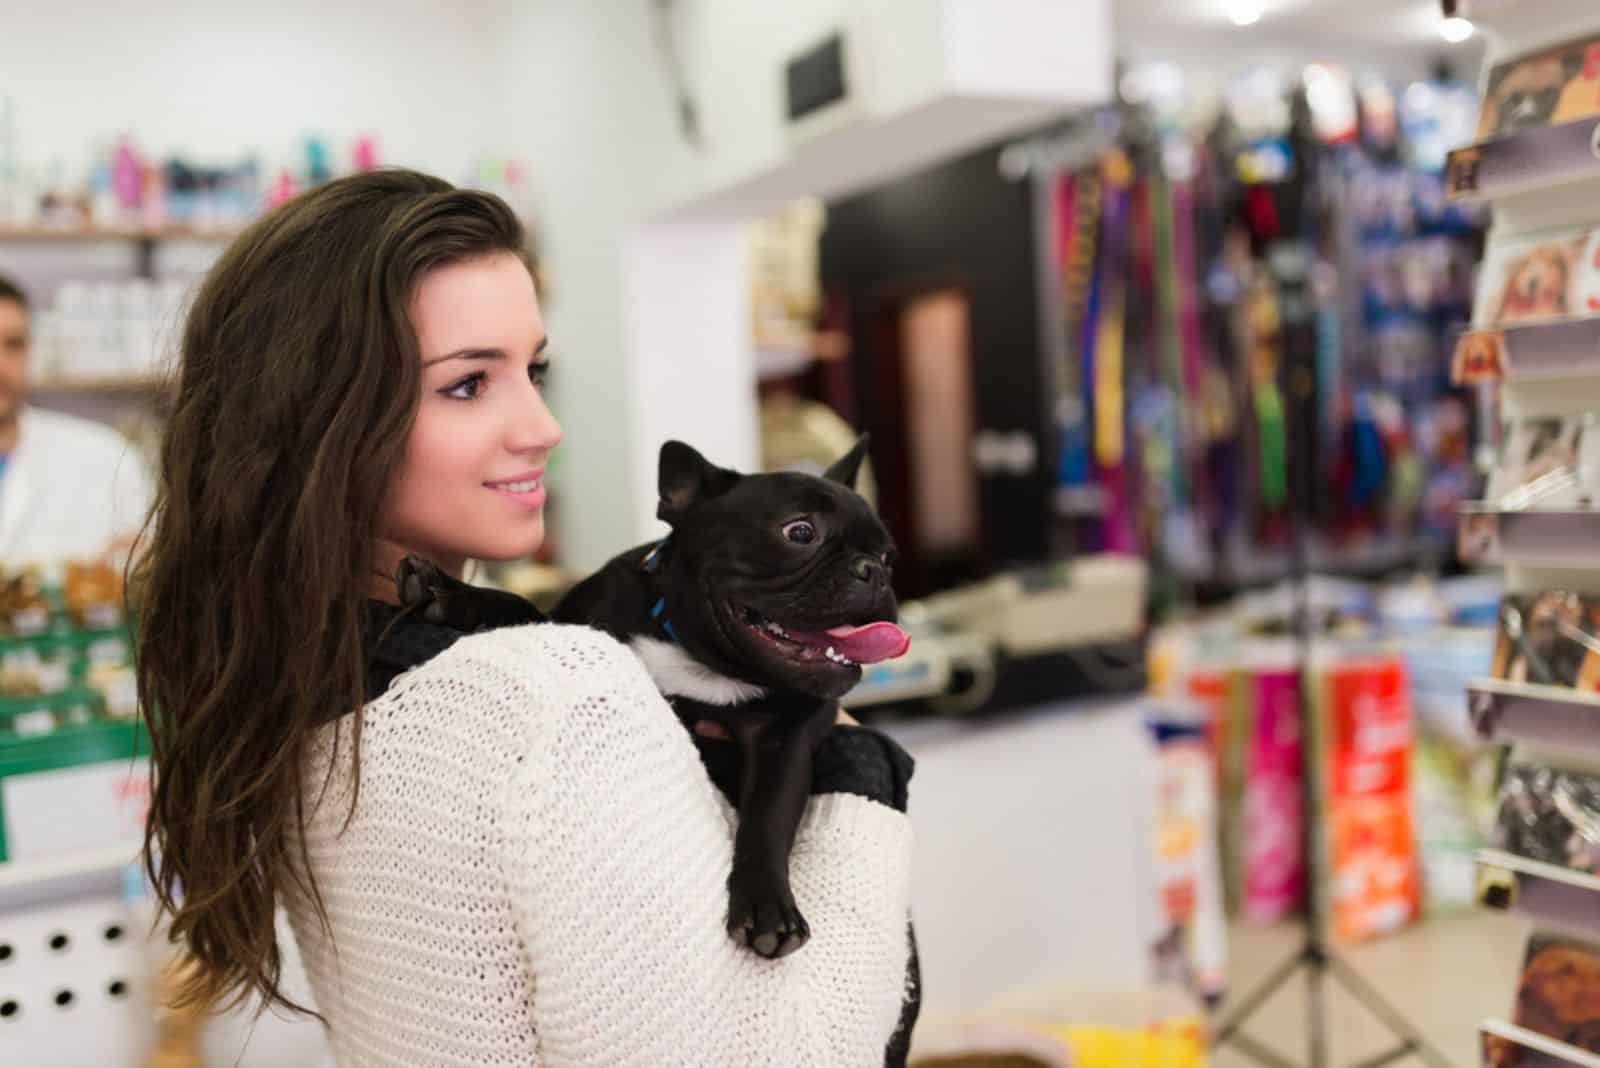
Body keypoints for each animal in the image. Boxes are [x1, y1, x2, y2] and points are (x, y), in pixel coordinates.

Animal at [556, 434, 915, 959]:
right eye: (800, 532)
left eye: (889, 556)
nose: (875, 572)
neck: (707, 665)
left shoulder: (785, 744)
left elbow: (767, 820)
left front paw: (767, 908)